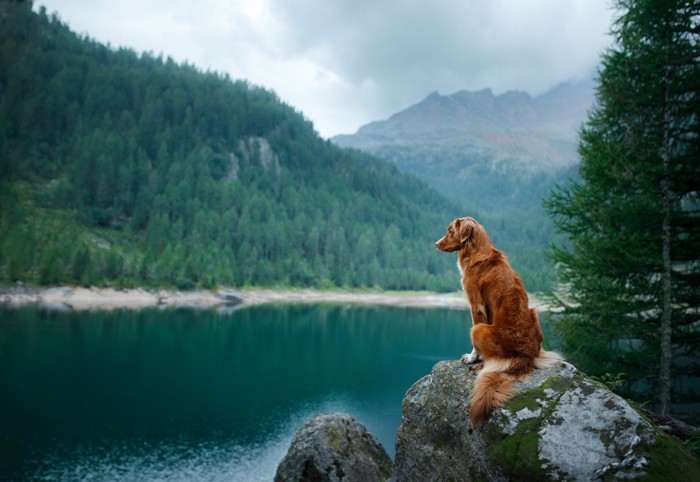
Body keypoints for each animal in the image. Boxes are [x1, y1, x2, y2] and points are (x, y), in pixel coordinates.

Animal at [432, 217, 564, 424]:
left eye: (450, 230)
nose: (436, 243)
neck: (476, 250)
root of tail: (526, 356)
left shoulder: (476, 304)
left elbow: (476, 346)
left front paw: (471, 358)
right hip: (534, 313)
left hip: (479, 330)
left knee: (494, 362)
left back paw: (480, 367)